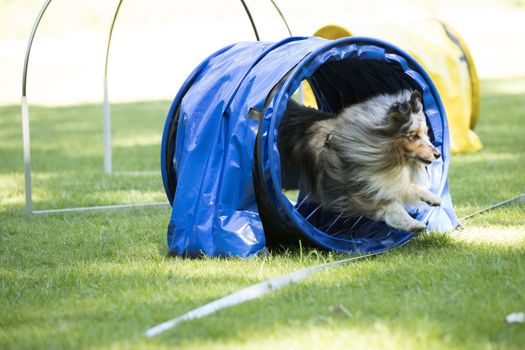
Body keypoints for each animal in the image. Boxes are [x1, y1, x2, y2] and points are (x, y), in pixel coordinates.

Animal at [278, 90, 442, 232]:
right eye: (414, 136)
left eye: (426, 134)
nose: (438, 154)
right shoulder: (357, 191)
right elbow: (393, 203)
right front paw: (413, 223)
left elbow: (404, 187)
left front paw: (432, 198)